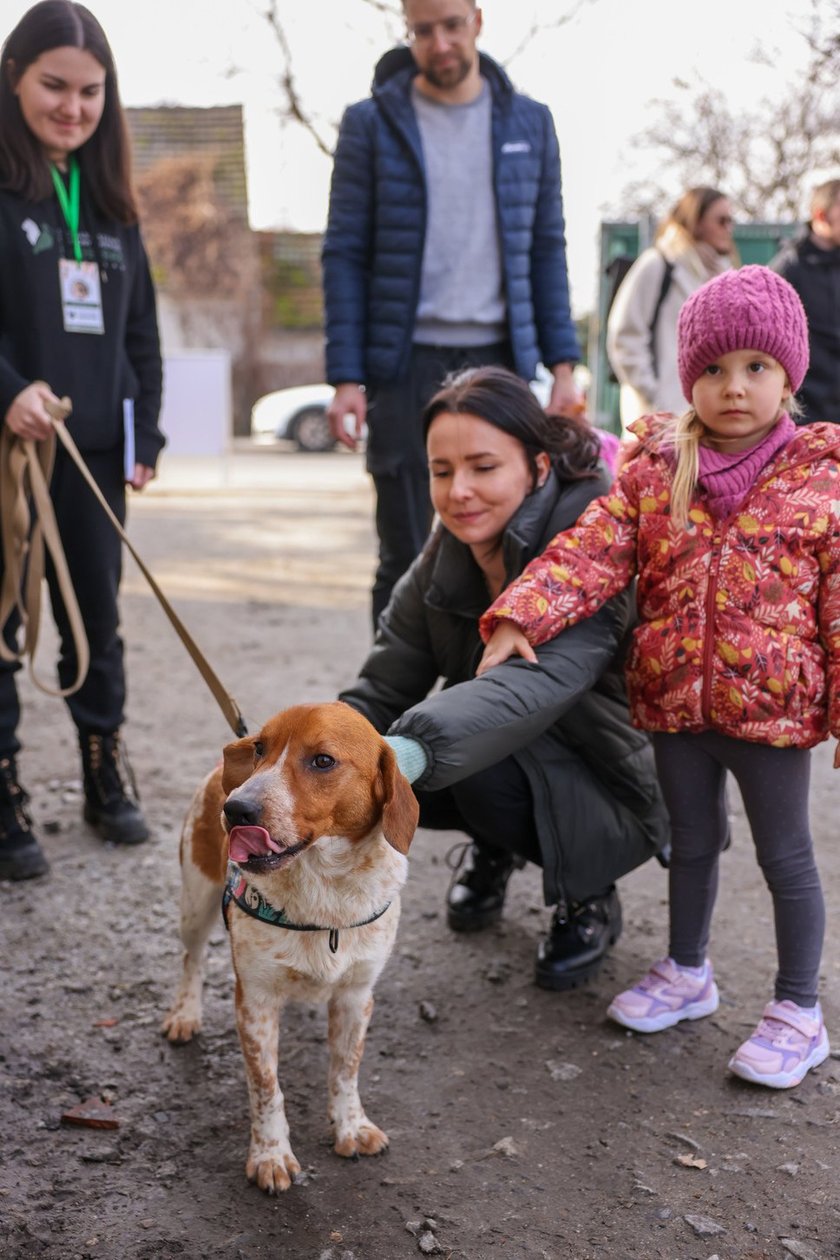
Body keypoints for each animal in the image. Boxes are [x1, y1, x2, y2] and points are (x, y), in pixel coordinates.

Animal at [161, 705, 418, 1194]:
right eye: (261, 749)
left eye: (323, 761)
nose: (235, 808)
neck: (324, 892)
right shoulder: (255, 1002)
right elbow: (266, 1087)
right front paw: (270, 1155)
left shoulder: (356, 996)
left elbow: (345, 1069)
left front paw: (351, 1126)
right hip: (195, 903)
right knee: (191, 959)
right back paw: (185, 1013)